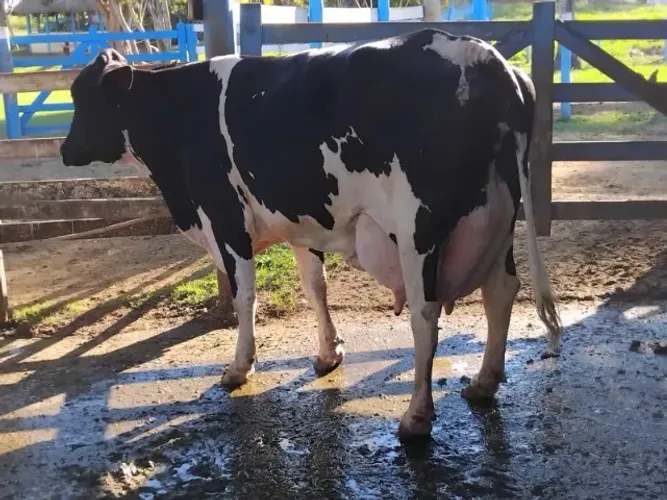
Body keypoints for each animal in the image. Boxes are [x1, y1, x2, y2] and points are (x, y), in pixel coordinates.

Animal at [60, 28, 562, 441]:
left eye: (84, 99)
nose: (65, 151)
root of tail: (486, 56)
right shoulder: (299, 224)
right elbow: (315, 287)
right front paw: (328, 354)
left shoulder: (225, 217)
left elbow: (245, 297)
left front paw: (239, 367)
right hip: (498, 213)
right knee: (501, 291)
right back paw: (483, 382)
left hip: (420, 228)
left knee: (426, 313)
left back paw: (416, 417)